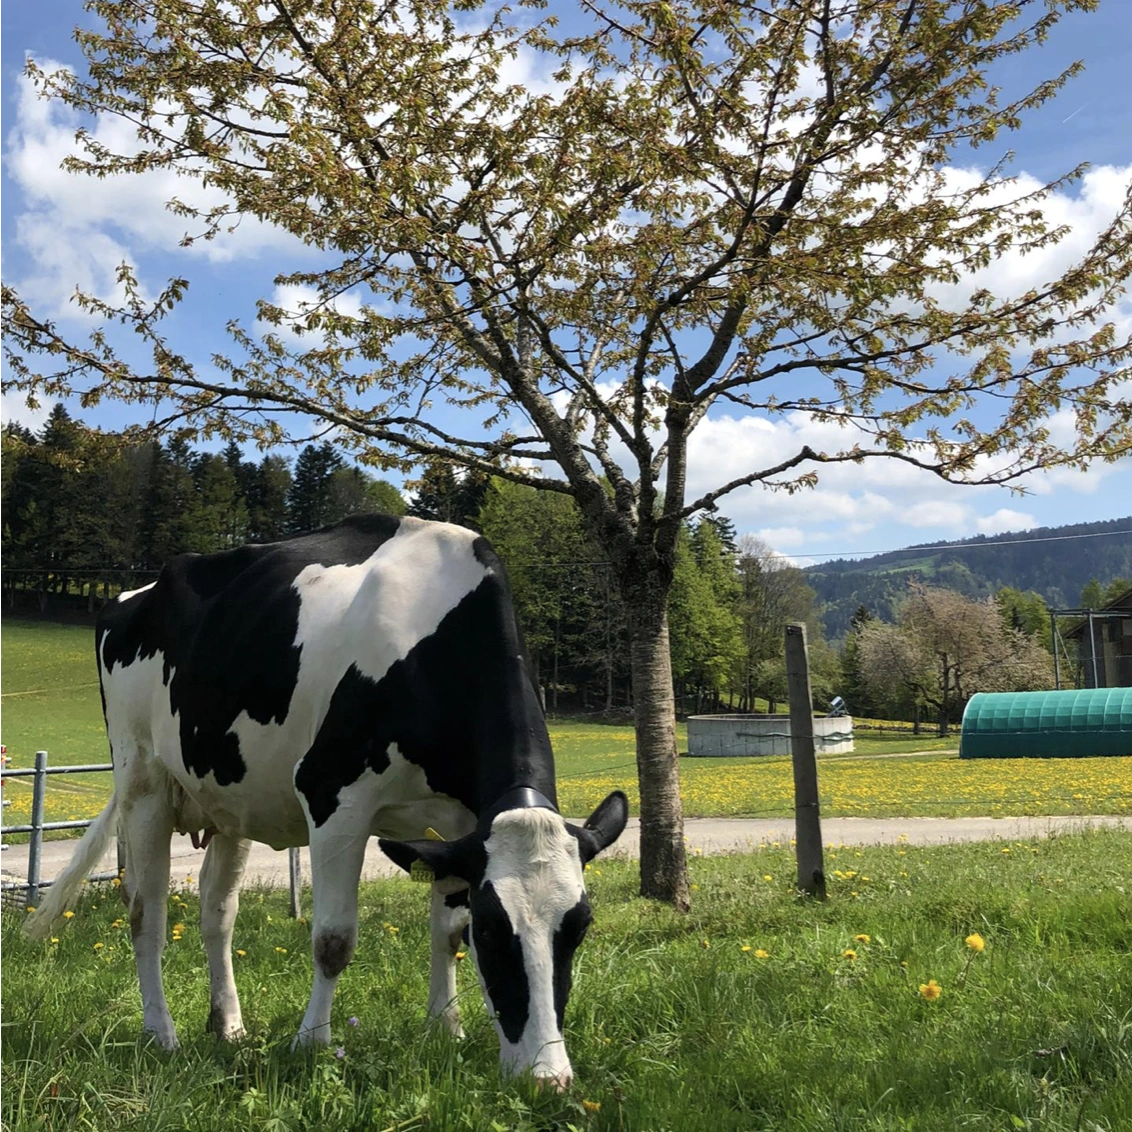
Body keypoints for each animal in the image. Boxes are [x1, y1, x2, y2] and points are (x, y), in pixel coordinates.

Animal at [26, 514, 627, 1087]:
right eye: (494, 929)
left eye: (580, 928)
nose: (548, 1079)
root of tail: (134, 593)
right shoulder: (334, 796)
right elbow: (333, 939)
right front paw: (311, 1044)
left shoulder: (459, 826)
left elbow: (446, 929)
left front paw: (445, 1028)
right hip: (142, 777)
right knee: (145, 911)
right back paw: (162, 1035)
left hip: (229, 799)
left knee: (216, 911)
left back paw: (229, 1026)